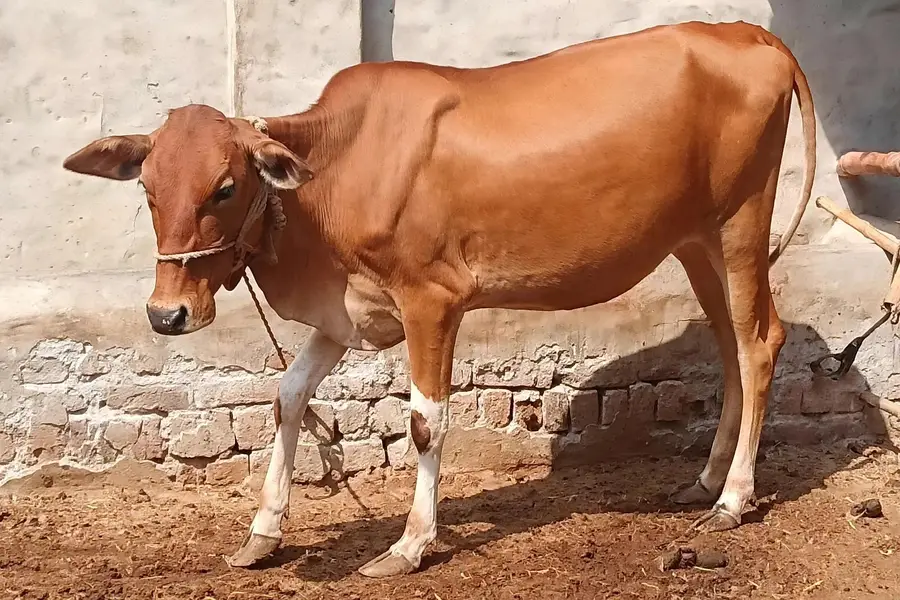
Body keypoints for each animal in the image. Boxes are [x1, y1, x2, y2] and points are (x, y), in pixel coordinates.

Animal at [62, 20, 815, 578]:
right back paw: (706, 479)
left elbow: (426, 422)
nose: (168, 313)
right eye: (147, 187)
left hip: (741, 223)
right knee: (729, 344)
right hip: (694, 242)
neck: (332, 175)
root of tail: (750, 32)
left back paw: (735, 497)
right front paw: (263, 533)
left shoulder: (432, 300)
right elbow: (288, 396)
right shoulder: (346, 313)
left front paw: (409, 545)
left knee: (758, 343)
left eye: (224, 186)